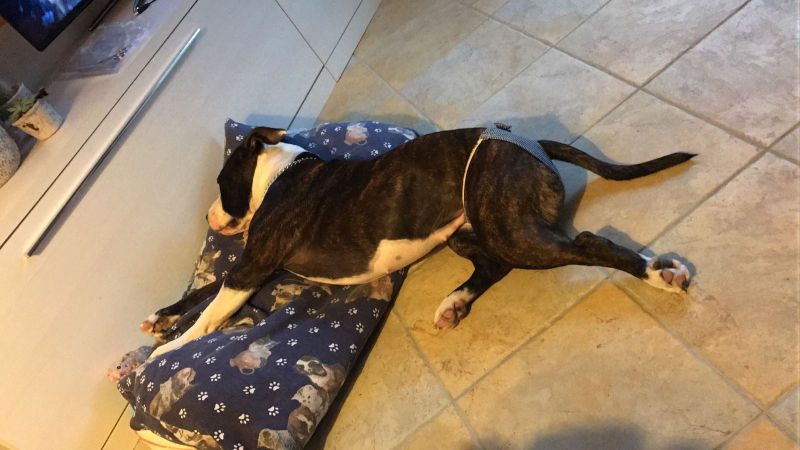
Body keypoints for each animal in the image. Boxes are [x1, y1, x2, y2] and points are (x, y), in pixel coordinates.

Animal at [148, 125, 693, 359]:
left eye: (221, 183)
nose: (207, 215)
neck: (280, 173)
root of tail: (531, 140)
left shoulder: (253, 266)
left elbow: (212, 312)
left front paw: (168, 350)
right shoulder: (259, 266)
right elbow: (207, 289)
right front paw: (161, 316)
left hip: (510, 229)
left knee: (586, 242)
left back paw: (660, 274)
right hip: (467, 232)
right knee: (492, 267)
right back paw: (454, 304)